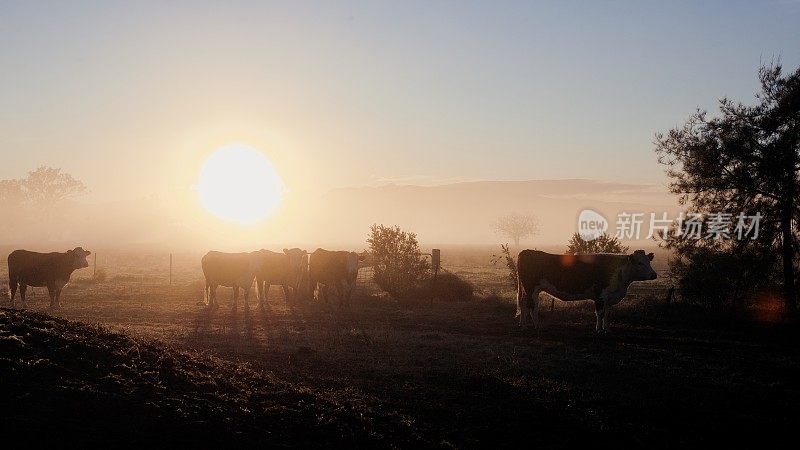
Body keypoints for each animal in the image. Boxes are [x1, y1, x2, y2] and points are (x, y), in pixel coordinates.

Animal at [516, 250, 660, 334]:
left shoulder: (608, 298)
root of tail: (526, 251)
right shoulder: (600, 296)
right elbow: (600, 313)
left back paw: (523, 325)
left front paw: (607, 329)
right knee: (532, 306)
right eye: (640, 263)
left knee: (523, 304)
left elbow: (607, 313)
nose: (654, 274)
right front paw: (598, 329)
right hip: (532, 288)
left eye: (648, 261)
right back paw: (537, 326)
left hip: (526, 289)